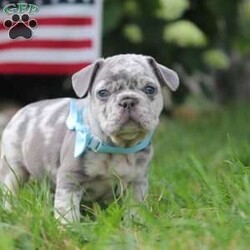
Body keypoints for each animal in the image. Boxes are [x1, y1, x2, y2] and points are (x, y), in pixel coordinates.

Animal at [0, 53, 180, 224]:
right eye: (103, 93)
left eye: (150, 89)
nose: (128, 100)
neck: (119, 146)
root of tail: (21, 111)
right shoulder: (70, 179)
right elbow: (67, 210)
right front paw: (68, 229)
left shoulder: (137, 183)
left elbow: (135, 210)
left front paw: (137, 225)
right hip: (12, 168)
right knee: (10, 189)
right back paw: (10, 211)